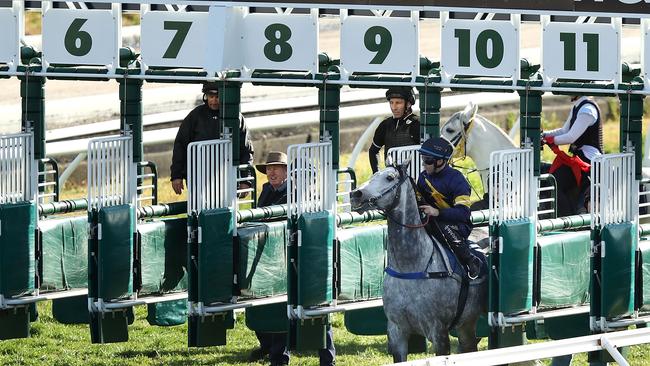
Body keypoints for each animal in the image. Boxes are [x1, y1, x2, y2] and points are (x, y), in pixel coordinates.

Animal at [350, 164, 486, 362]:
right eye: (374, 174)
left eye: (390, 178)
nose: (355, 194)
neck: (411, 266)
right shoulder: (397, 331)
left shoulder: (439, 332)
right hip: (466, 324)